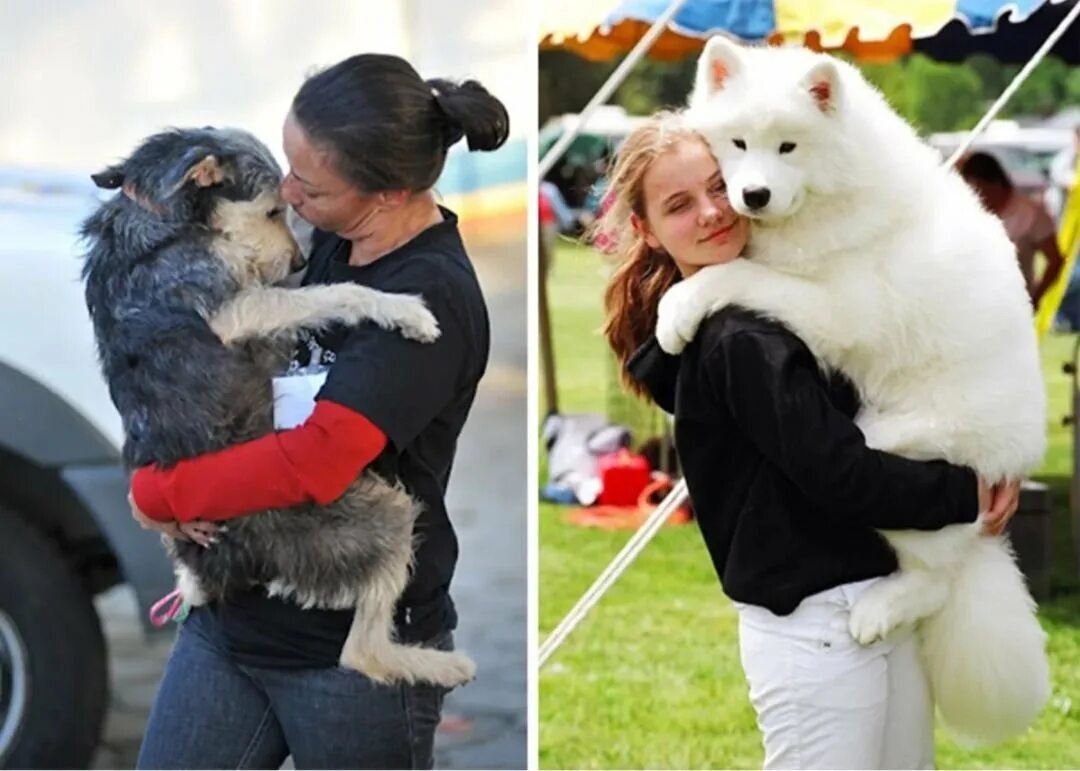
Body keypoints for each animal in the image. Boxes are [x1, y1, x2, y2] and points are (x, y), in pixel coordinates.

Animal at [660, 37, 1049, 742]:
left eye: (788, 147)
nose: (753, 195)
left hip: (894, 452)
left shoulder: (836, 307)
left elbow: (733, 276)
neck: (830, 194)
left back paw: (880, 608)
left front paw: (676, 309)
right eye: (738, 143)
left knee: (936, 577)